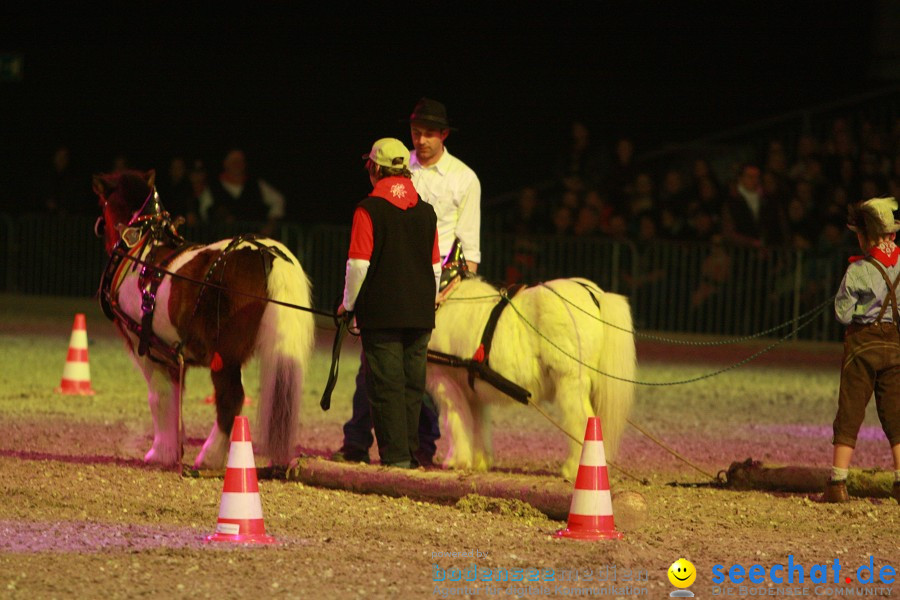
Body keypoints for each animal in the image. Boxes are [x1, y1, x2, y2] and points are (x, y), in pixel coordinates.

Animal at [93, 169, 314, 468]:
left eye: (103, 205)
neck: (140, 253)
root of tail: (267, 253)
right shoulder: (173, 358)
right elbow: (175, 399)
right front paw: (175, 446)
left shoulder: (149, 352)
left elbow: (159, 398)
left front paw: (161, 452)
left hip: (224, 355)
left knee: (230, 397)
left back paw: (210, 456)